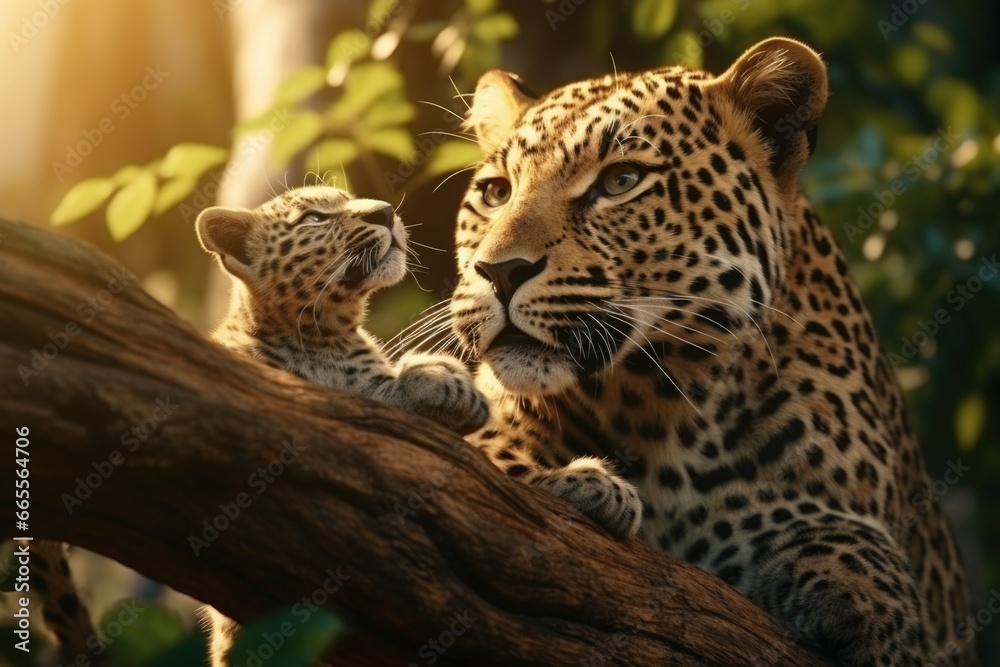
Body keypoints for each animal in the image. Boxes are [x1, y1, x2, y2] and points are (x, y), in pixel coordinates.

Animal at [452, 37, 976, 667]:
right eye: (496, 192)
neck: (656, 406)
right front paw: (582, 484)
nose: (499, 272)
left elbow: (862, 562)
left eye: (621, 181)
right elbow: (488, 448)